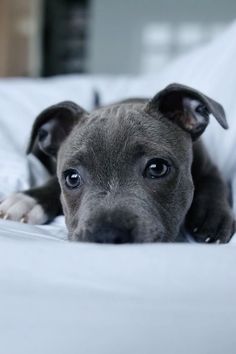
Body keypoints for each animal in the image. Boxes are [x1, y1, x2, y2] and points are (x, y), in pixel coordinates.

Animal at [0, 83, 234, 243]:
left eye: (157, 168)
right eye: (72, 178)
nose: (107, 234)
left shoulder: (209, 166)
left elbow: (215, 184)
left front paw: (213, 217)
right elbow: (51, 182)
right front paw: (28, 199)